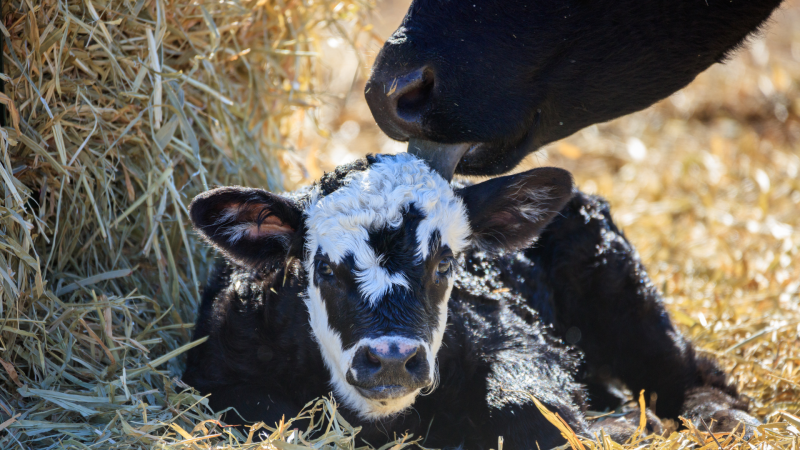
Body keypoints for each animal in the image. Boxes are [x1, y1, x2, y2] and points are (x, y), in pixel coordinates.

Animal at [183, 153, 757, 449]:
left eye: (445, 264)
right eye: (323, 269)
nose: (392, 359)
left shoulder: (515, 335)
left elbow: (531, 408)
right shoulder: (218, 373)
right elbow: (272, 415)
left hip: (619, 285)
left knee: (690, 368)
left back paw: (720, 418)